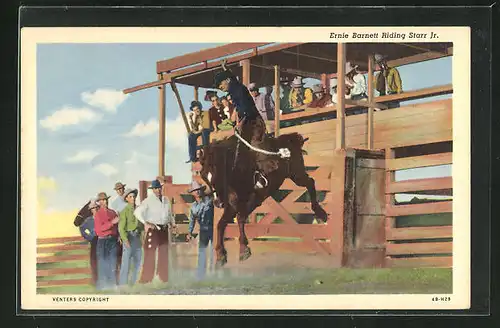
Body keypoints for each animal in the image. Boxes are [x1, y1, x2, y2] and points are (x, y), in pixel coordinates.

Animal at [197, 131, 330, 266]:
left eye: (218, 173)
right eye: (203, 175)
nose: (218, 203)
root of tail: (290, 138)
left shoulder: (255, 199)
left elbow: (240, 218)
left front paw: (244, 249)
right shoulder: (232, 207)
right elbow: (221, 224)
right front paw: (220, 255)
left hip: (297, 174)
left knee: (310, 182)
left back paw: (320, 213)